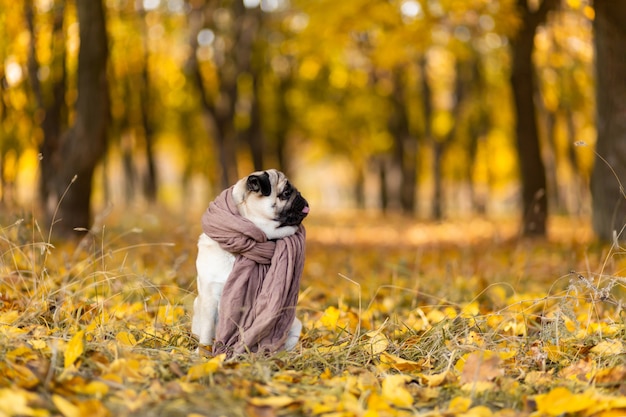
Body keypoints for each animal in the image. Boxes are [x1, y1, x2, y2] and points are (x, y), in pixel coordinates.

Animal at [190, 167, 308, 350]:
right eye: (286, 193)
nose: (301, 196)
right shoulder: (210, 296)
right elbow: (207, 330)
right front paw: (203, 351)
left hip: (295, 324)